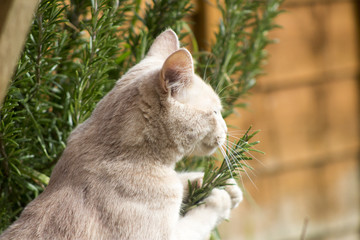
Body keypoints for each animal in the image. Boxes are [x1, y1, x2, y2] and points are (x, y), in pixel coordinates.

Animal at [0, 29, 242, 239]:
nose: (226, 129)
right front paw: (218, 199)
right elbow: (199, 221)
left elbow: (185, 179)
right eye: (215, 112)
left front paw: (223, 185)